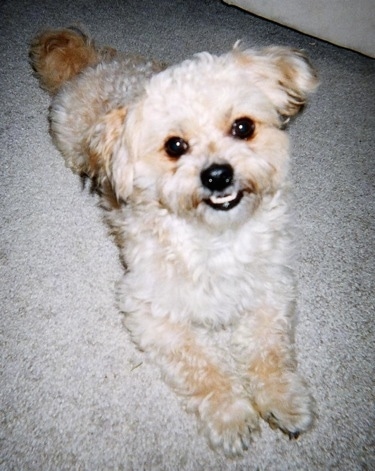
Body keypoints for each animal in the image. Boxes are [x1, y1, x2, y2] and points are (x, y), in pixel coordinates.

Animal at [29, 26, 318, 458]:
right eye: (175, 146)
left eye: (243, 127)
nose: (217, 176)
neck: (215, 240)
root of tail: (98, 63)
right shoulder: (151, 310)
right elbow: (201, 365)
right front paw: (230, 415)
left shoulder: (272, 290)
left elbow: (270, 349)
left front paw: (283, 399)